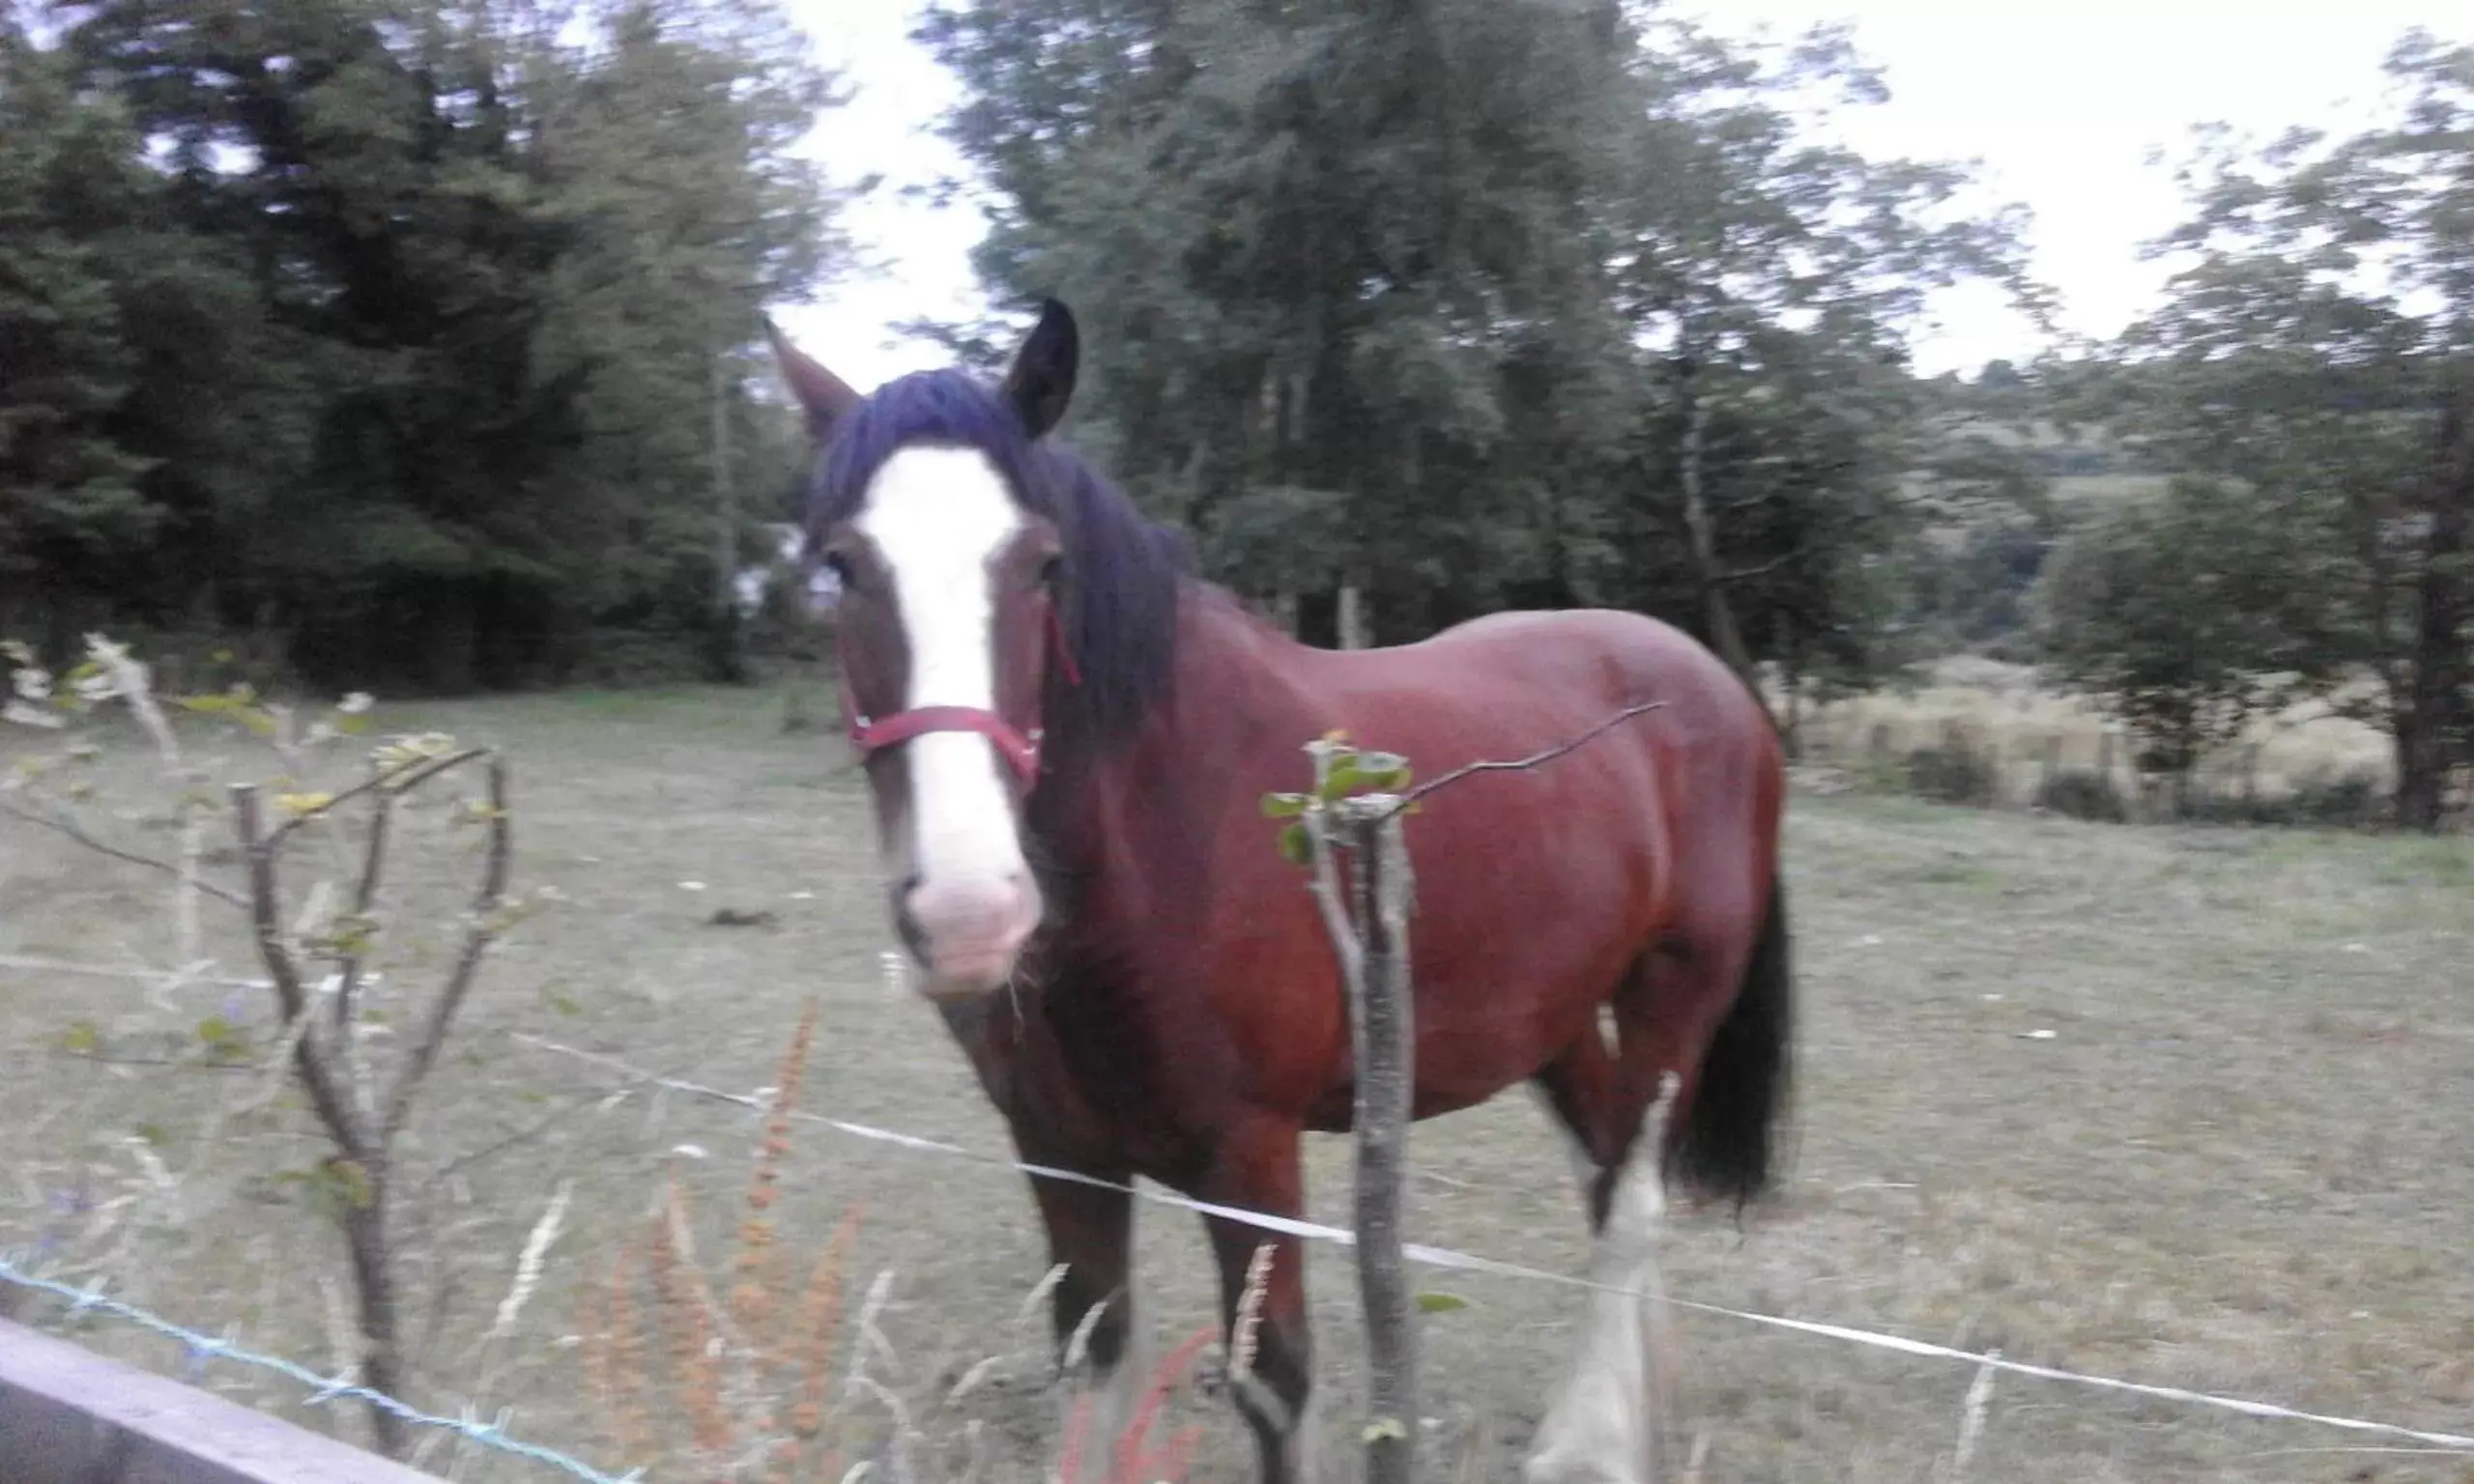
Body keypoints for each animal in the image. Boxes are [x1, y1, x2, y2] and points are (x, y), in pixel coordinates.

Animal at [762, 301, 1791, 1484]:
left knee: (1631, 1207)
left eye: (1042, 565)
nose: (969, 913)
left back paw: (1587, 1446)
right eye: (842, 566)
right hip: (1560, 1018)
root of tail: (1714, 682)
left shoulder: (1248, 1158)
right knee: (1610, 1184)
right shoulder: (1059, 1152)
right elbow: (1095, 1356)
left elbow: (1274, 1380)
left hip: (1675, 996)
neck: (1155, 851)